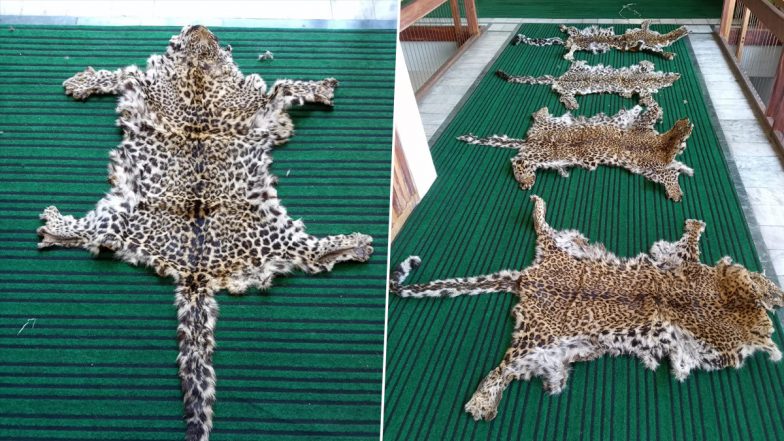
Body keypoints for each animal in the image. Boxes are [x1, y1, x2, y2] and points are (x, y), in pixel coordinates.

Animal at [36, 25, 374, 441]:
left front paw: (320, 86)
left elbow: (284, 85)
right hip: (121, 216)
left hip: (273, 233)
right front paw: (82, 81)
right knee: (86, 234)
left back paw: (352, 244)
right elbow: (118, 73)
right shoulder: (145, 84)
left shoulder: (258, 102)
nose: (198, 26)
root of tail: (196, 272)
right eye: (185, 32)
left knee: (313, 253)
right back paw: (56, 225)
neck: (198, 75)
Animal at [390, 195, 784, 422]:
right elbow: (691, 244)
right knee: (500, 368)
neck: (727, 301)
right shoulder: (690, 275)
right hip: (535, 338)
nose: (778, 296)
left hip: (555, 289)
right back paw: (480, 405)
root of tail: (528, 277)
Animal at [457, 101, 694, 201]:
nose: (690, 123)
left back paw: (540, 111)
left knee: (537, 124)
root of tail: (529, 140)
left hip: (545, 130)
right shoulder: (652, 160)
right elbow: (669, 175)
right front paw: (675, 192)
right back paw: (525, 180)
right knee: (518, 161)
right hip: (545, 155)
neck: (661, 144)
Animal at [496, 59, 680, 110]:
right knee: (564, 96)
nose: (678, 75)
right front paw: (658, 112)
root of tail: (559, 78)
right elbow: (650, 101)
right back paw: (572, 104)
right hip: (568, 90)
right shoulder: (643, 90)